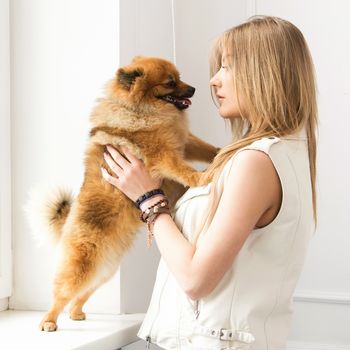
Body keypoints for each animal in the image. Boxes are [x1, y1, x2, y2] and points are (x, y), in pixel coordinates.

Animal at [34, 56, 217, 330]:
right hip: (83, 264)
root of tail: (69, 220)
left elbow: (204, 148)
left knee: (83, 293)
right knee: (63, 292)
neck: (142, 110)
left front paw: (219, 153)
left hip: (104, 270)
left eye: (180, 78)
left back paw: (76, 312)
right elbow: (183, 169)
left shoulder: (183, 141)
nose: (193, 89)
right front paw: (201, 177)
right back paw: (49, 320)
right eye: (170, 83)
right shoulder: (163, 154)